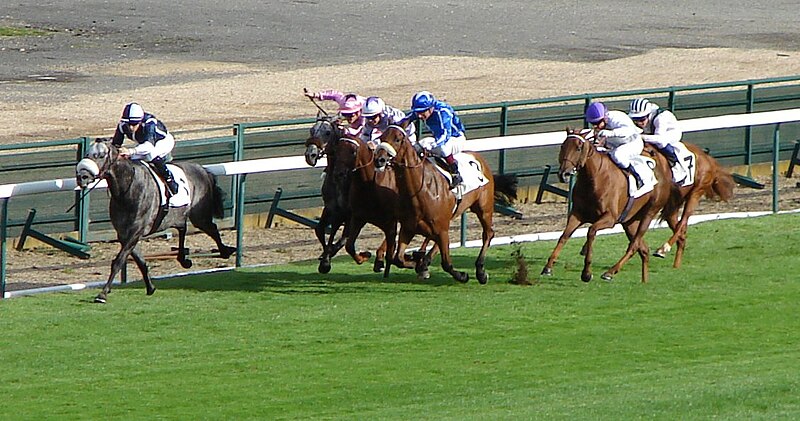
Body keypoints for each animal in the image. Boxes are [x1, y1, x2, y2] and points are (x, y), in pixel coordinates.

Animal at [76, 138, 234, 302]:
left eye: (101, 155)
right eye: (87, 153)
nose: (82, 177)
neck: (127, 191)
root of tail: (202, 169)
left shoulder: (136, 230)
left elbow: (118, 261)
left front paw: (102, 294)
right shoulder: (124, 234)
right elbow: (139, 260)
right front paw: (150, 287)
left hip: (199, 216)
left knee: (212, 228)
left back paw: (225, 251)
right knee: (183, 227)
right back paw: (184, 259)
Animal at [372, 123, 516, 284]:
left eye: (397, 139)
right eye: (381, 138)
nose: (380, 160)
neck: (421, 189)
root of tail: (480, 159)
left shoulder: (441, 228)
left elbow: (446, 263)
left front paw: (462, 275)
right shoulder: (409, 228)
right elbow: (398, 258)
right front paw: (418, 263)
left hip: (483, 208)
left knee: (488, 234)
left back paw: (480, 271)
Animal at [544, 127, 676, 282]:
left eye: (578, 148)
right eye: (562, 146)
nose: (563, 174)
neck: (595, 178)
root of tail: (665, 168)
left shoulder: (610, 218)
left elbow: (591, 232)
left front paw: (586, 273)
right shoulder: (577, 214)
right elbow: (564, 236)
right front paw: (548, 267)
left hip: (649, 212)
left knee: (634, 245)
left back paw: (610, 272)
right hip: (630, 221)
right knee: (643, 248)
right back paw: (644, 281)